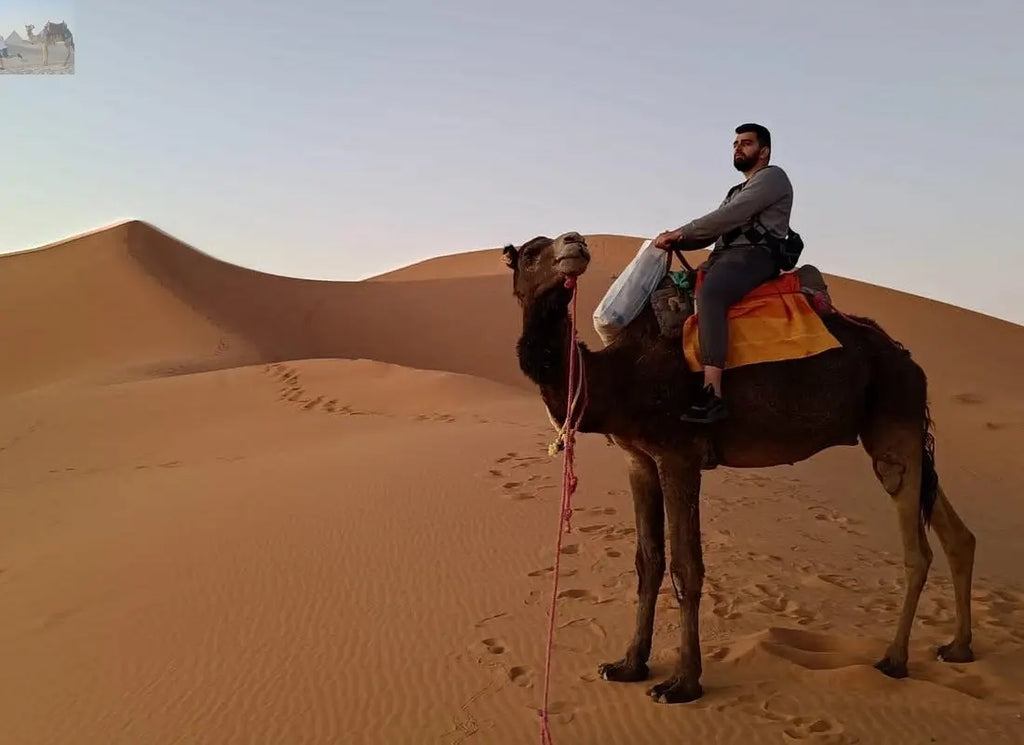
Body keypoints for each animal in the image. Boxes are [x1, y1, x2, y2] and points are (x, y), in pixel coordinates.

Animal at [502, 231, 977, 704]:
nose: (575, 242)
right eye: (529, 253)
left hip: (894, 419)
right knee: (955, 532)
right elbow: (647, 560)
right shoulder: (638, 459)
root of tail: (908, 359)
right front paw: (628, 664)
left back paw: (894, 659)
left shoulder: (679, 455)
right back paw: (958, 647)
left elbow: (686, 567)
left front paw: (682, 683)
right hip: (902, 429)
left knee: (915, 542)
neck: (620, 376)